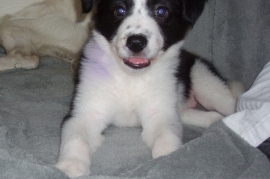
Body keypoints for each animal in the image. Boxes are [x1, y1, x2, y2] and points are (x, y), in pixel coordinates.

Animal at [55, 0, 240, 177]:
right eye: (119, 10)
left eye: (161, 11)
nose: (136, 43)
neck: (130, 77)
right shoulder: (86, 112)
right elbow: (75, 138)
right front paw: (71, 165)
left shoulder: (160, 113)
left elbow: (166, 137)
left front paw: (166, 162)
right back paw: (214, 119)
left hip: (205, 81)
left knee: (231, 103)